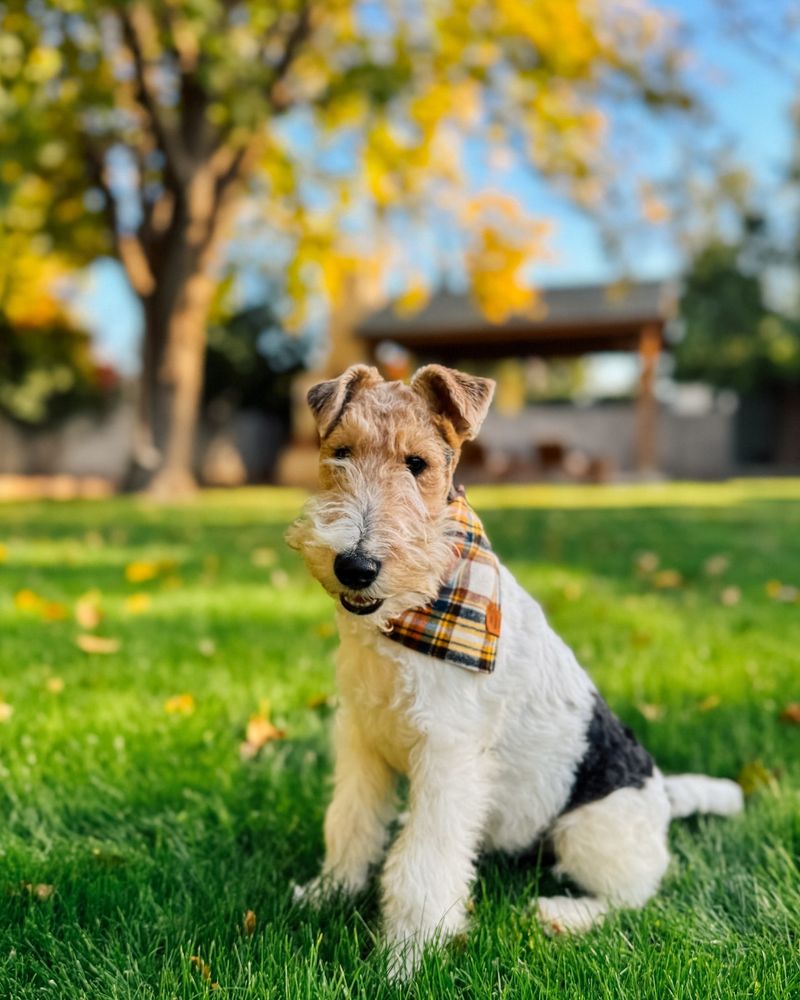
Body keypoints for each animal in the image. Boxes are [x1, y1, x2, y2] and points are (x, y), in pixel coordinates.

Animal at [288, 362, 744, 976]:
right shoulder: (363, 739)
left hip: (590, 831)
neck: (414, 611)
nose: (355, 566)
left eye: (417, 464)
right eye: (340, 452)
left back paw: (559, 914)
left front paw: (405, 960)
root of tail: (665, 796)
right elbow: (349, 824)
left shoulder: (447, 757)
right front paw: (328, 892)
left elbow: (422, 869)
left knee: (632, 898)